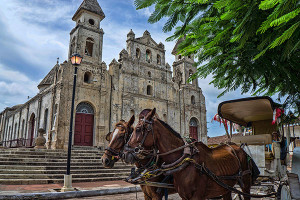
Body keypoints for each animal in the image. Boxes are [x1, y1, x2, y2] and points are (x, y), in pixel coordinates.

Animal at [124, 108, 258, 199]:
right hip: (225, 187)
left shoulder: (195, 196)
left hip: (245, 184)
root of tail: (236, 146)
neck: (184, 159)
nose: (125, 153)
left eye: (138, 129)